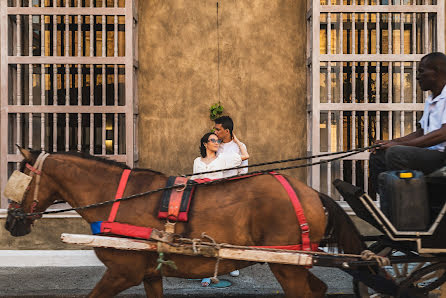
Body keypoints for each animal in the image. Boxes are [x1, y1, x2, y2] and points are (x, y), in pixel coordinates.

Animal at [4, 148, 366, 296]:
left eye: (19, 178)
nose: (11, 223)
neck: (117, 198)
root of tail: (311, 193)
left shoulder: (122, 273)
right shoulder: (150, 273)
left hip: (286, 264)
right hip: (291, 264)